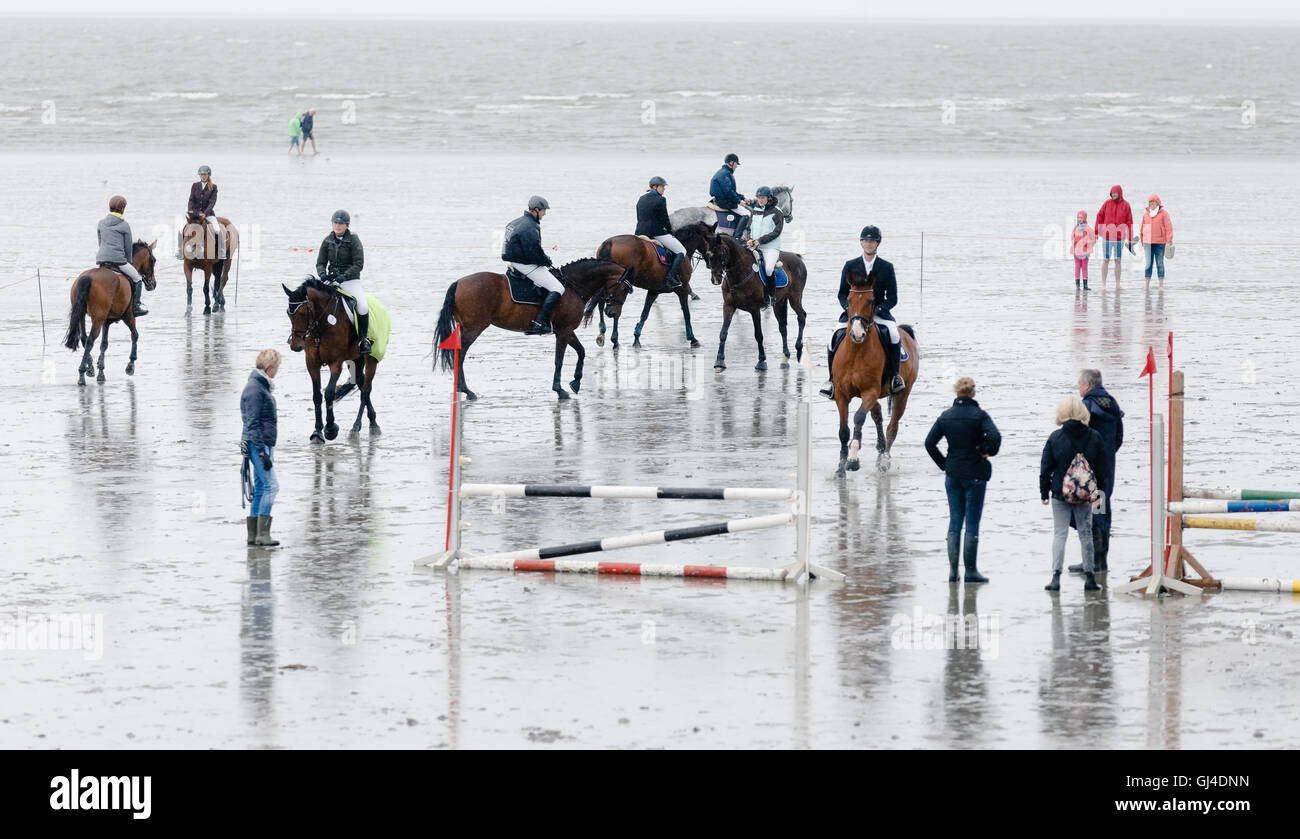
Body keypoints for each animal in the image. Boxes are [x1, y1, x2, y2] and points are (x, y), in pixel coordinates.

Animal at [63, 240, 157, 387]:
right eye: (153, 260)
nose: (153, 284)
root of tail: (88, 276)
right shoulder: (128, 316)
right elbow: (135, 335)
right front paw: (130, 366)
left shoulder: (106, 322)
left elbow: (104, 344)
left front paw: (101, 372)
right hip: (98, 319)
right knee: (90, 341)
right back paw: (82, 374)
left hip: (82, 316)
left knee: (84, 338)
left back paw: (90, 369)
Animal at [284, 278, 379, 442]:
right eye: (288, 313)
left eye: (302, 313)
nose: (295, 346)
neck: (321, 327)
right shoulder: (312, 363)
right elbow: (316, 395)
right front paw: (317, 432)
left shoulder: (336, 363)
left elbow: (329, 392)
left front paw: (330, 429)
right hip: (355, 359)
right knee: (361, 383)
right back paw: (372, 421)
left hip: (370, 359)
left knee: (366, 390)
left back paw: (357, 427)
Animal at [436, 254, 634, 398]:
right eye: (625, 289)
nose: (612, 313)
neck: (573, 286)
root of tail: (459, 283)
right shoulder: (564, 331)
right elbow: (559, 359)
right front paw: (559, 389)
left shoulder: (565, 330)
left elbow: (581, 351)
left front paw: (575, 383)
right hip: (473, 329)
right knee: (460, 354)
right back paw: (465, 390)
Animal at [707, 230, 806, 372]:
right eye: (708, 255)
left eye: (722, 254)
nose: (715, 279)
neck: (740, 272)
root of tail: (797, 257)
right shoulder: (728, 306)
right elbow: (723, 333)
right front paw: (719, 361)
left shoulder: (754, 310)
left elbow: (758, 335)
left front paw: (761, 361)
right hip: (779, 303)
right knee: (782, 326)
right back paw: (785, 357)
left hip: (795, 298)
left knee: (801, 317)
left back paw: (799, 350)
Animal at [826, 278, 920, 473]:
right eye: (849, 299)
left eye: (871, 301)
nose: (856, 333)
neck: (856, 351)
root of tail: (905, 332)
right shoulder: (841, 394)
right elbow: (843, 430)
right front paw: (841, 467)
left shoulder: (870, 391)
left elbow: (858, 418)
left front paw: (853, 459)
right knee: (877, 415)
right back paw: (880, 449)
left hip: (902, 394)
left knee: (892, 426)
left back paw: (884, 459)